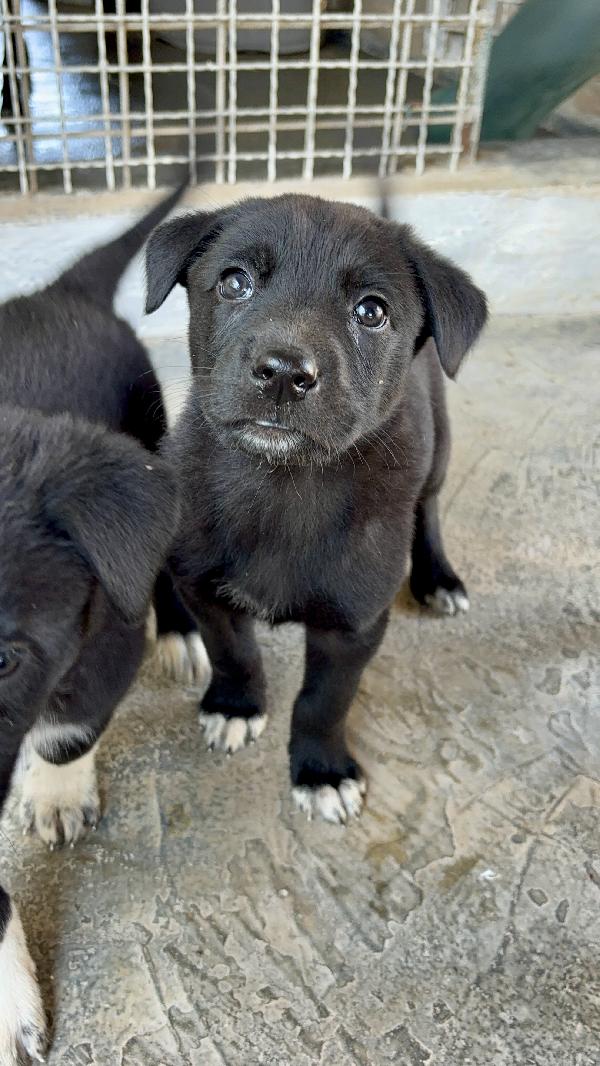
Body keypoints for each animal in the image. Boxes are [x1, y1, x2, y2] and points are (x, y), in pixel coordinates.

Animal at [145, 193, 487, 825]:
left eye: (371, 311)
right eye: (234, 282)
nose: (283, 372)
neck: (282, 486)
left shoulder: (353, 626)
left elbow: (323, 700)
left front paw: (321, 771)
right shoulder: (201, 587)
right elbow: (233, 652)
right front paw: (237, 707)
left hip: (439, 443)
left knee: (428, 507)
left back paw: (438, 578)